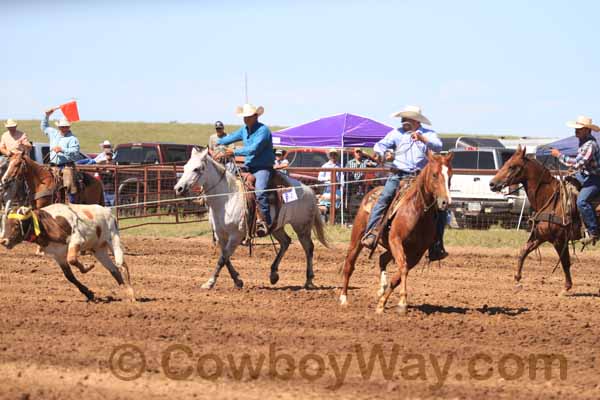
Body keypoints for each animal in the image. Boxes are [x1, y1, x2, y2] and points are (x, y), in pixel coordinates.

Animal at [340, 152, 452, 314]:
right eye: (435, 174)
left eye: (450, 175)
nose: (445, 202)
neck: (418, 212)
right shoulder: (396, 240)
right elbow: (403, 268)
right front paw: (402, 302)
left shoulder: (417, 252)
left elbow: (398, 276)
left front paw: (382, 304)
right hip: (358, 237)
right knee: (349, 264)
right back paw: (344, 299)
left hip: (389, 247)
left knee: (382, 259)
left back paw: (381, 288)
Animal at [490, 145, 588, 294]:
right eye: (506, 163)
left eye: (512, 166)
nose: (492, 184)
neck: (550, 198)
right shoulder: (540, 235)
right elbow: (523, 251)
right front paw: (517, 278)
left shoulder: (559, 240)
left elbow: (565, 262)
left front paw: (566, 287)